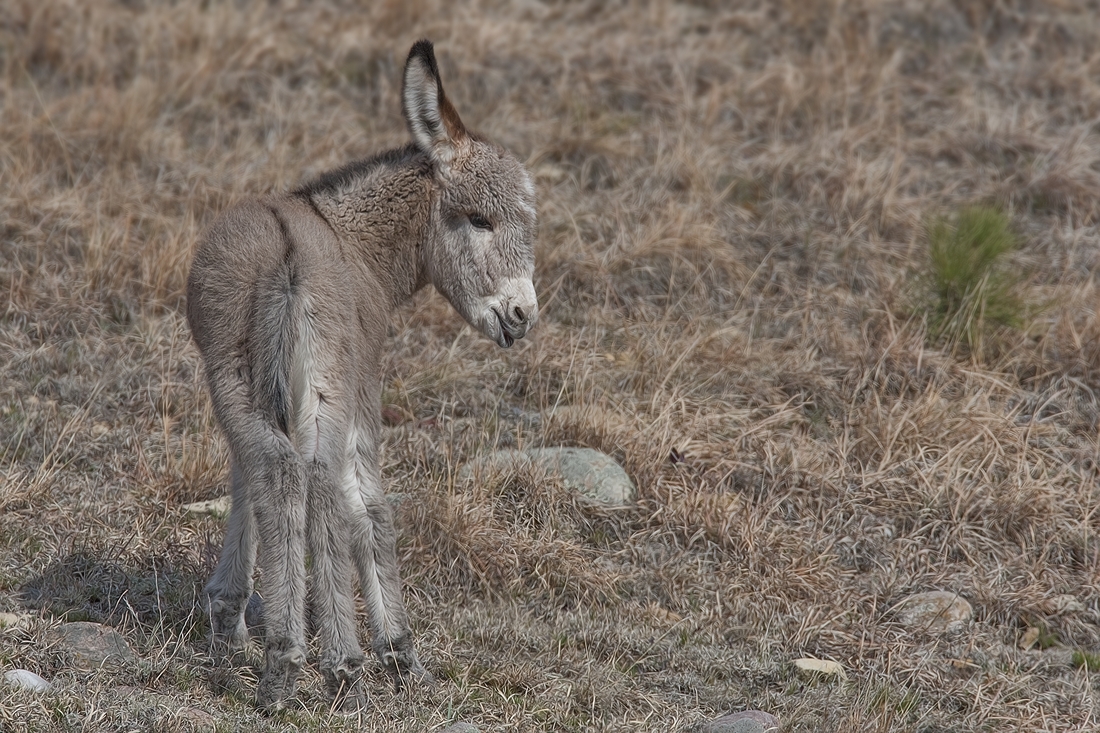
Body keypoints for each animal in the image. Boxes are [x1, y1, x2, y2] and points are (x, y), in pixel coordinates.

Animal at [187, 39, 539, 708]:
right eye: (477, 219)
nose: (522, 317)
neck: (349, 237)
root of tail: (287, 258)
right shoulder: (365, 376)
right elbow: (370, 504)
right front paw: (399, 653)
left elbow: (243, 481)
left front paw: (228, 616)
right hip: (329, 381)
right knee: (323, 481)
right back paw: (331, 660)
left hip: (236, 379)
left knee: (276, 471)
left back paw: (281, 659)